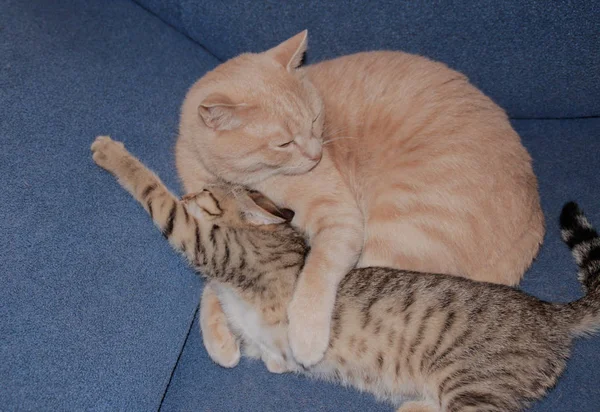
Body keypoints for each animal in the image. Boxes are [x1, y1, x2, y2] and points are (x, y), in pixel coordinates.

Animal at [91, 137, 596, 412]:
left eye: (207, 194)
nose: (192, 191)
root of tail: (550, 313)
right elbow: (226, 316)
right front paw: (230, 348)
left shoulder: (210, 245)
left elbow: (155, 195)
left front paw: (111, 152)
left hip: (476, 383)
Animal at [173, 31, 544, 366]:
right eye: (283, 143)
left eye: (314, 119)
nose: (316, 154)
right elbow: (218, 279)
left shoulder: (338, 218)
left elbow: (314, 273)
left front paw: (303, 334)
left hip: (399, 233)